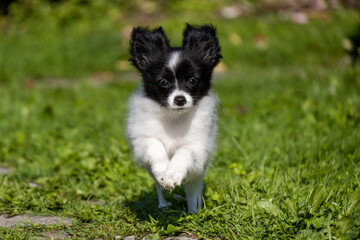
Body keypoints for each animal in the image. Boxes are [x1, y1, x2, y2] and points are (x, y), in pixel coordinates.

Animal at [126, 23, 222, 213]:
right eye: (164, 83)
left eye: (192, 81)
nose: (180, 99)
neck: (174, 117)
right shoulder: (141, 142)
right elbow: (155, 145)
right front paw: (162, 169)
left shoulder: (198, 150)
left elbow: (183, 152)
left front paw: (171, 174)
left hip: (196, 176)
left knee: (193, 192)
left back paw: (194, 212)